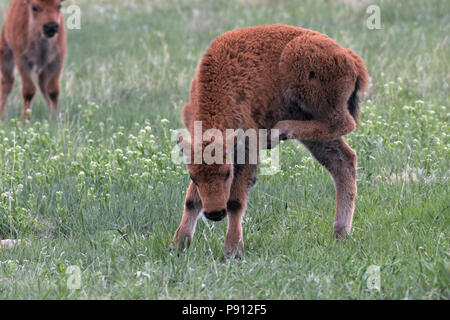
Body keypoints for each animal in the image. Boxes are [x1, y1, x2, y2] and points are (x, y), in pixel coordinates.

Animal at [172, 25, 370, 258]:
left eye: (227, 173)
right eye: (193, 177)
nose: (214, 214)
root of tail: (350, 57)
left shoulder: (248, 149)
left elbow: (235, 201)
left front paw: (232, 250)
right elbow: (191, 200)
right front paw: (178, 245)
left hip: (309, 89)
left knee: (343, 123)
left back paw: (280, 131)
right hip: (312, 127)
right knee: (343, 161)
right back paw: (340, 232)